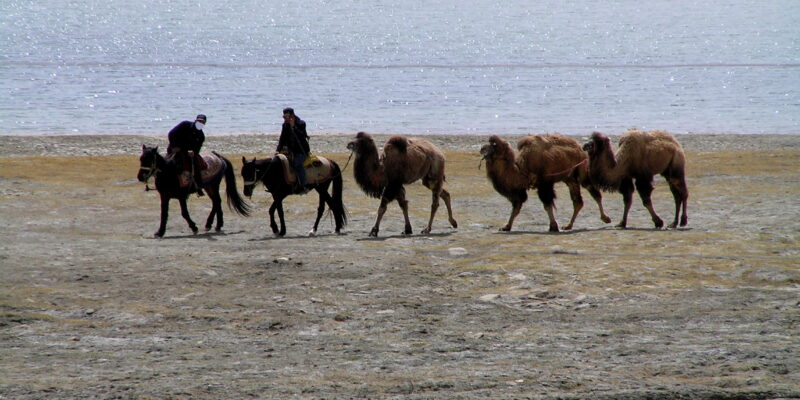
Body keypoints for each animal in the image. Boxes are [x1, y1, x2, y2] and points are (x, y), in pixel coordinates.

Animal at [480, 134, 611, 232]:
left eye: (493, 146)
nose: (481, 148)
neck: (522, 169)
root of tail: (580, 148)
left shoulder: (544, 184)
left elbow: (547, 205)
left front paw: (553, 227)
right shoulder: (521, 190)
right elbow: (517, 207)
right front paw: (506, 227)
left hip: (582, 171)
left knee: (594, 193)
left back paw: (606, 218)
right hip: (569, 178)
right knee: (578, 201)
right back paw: (568, 225)